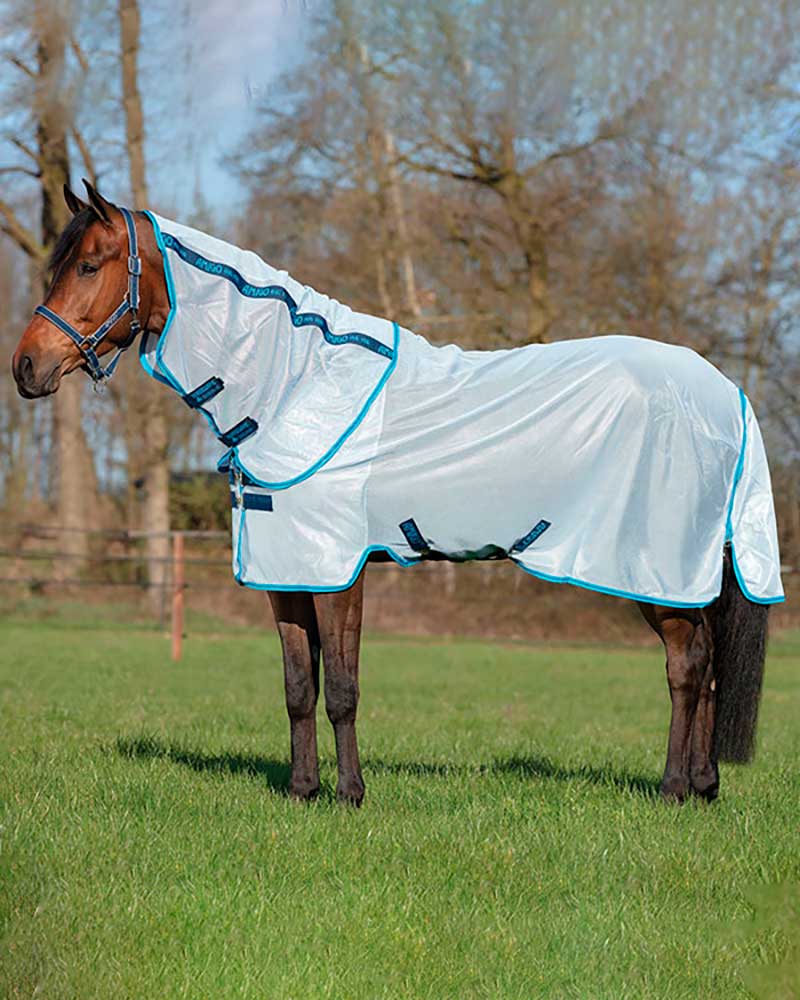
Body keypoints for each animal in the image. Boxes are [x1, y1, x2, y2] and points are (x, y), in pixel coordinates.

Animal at [11, 181, 783, 806]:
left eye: (88, 265)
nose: (25, 367)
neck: (294, 384)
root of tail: (727, 393)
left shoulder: (338, 574)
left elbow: (343, 690)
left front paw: (350, 795)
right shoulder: (285, 573)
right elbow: (298, 688)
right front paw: (302, 791)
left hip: (654, 571)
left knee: (687, 668)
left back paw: (675, 788)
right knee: (706, 668)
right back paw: (705, 786)